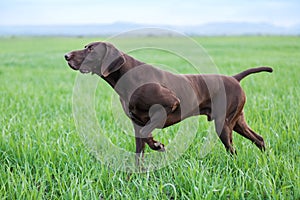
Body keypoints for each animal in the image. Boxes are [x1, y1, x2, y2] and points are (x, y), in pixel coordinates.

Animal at [64, 41, 274, 161]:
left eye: (91, 50)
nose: (66, 56)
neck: (127, 77)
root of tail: (234, 78)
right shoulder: (136, 123)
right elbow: (140, 150)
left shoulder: (169, 104)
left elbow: (148, 134)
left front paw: (158, 145)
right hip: (237, 122)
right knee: (259, 139)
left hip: (224, 124)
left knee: (233, 149)